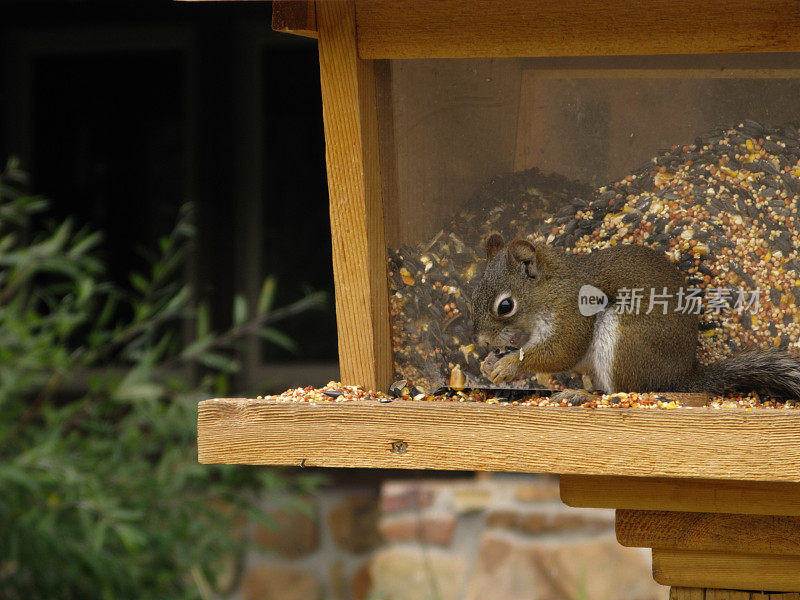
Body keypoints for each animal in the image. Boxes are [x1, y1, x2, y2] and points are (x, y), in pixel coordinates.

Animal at [472, 233, 800, 404]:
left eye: (505, 306)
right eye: (472, 296)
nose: (482, 341)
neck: (549, 290)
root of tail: (677, 378)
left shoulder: (572, 310)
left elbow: (562, 350)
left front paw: (508, 366)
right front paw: (489, 363)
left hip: (623, 340)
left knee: (623, 391)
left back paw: (580, 394)